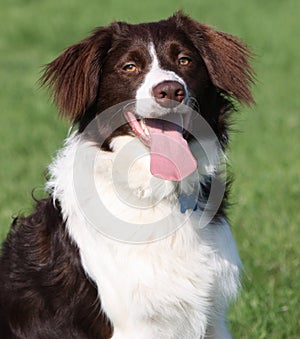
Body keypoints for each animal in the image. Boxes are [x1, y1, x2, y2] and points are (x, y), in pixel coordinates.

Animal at [0, 11, 253, 338]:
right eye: (129, 67)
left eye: (184, 60)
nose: (170, 90)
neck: (156, 192)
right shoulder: (134, 324)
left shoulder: (212, 318)